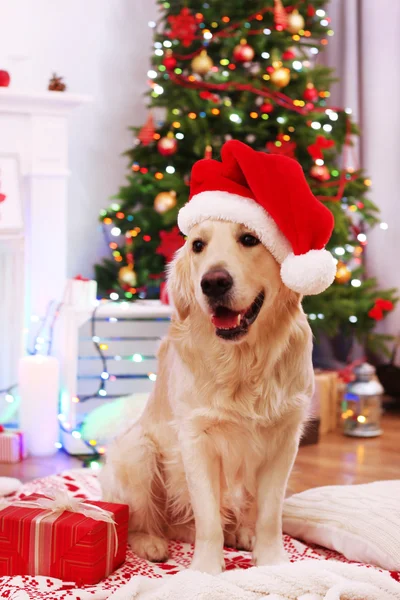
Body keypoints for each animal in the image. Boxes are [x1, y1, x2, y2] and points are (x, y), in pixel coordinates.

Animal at [100, 219, 312, 572]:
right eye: (198, 245)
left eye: (250, 238)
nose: (213, 283)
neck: (243, 361)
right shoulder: (196, 439)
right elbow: (209, 520)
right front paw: (205, 571)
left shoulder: (284, 439)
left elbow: (270, 515)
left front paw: (272, 561)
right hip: (137, 451)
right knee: (143, 522)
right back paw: (151, 543)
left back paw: (241, 532)